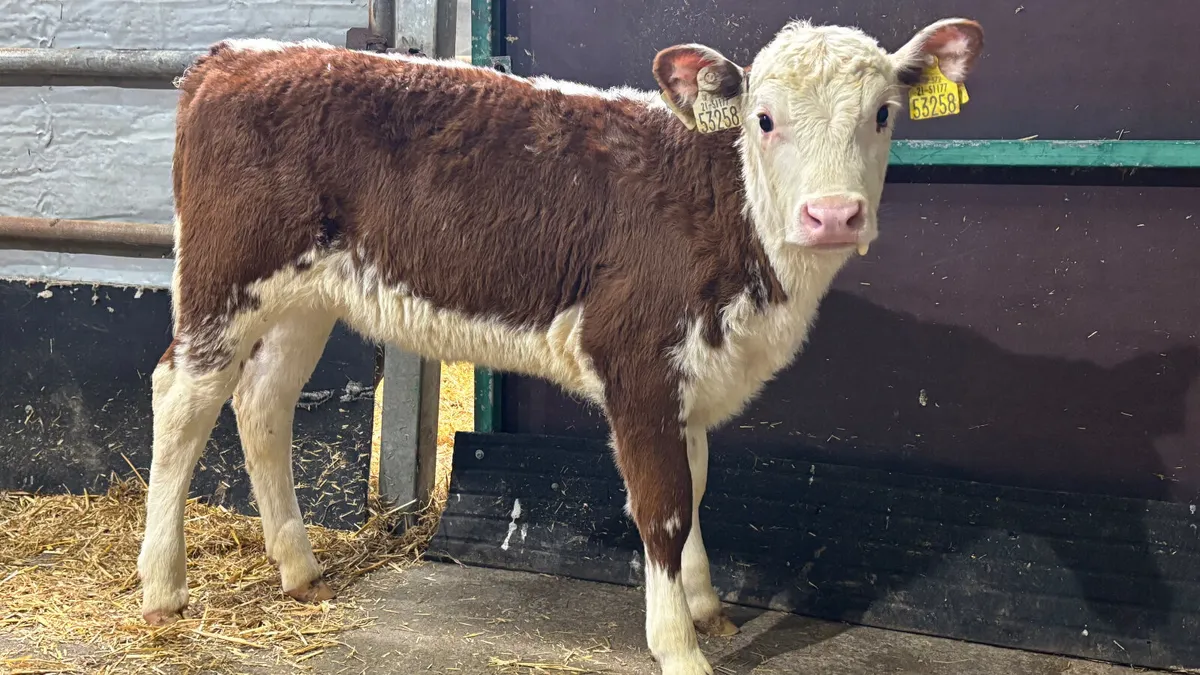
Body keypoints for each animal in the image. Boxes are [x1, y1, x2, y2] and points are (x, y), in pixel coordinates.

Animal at [137, 17, 983, 675]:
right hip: (224, 274)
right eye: (765, 119)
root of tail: (239, 55)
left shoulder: (693, 371)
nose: (833, 214)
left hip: (303, 300)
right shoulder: (637, 359)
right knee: (182, 398)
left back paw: (299, 567)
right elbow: (664, 507)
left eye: (883, 113)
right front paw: (678, 645)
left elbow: (697, 483)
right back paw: (162, 588)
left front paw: (705, 604)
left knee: (263, 403)